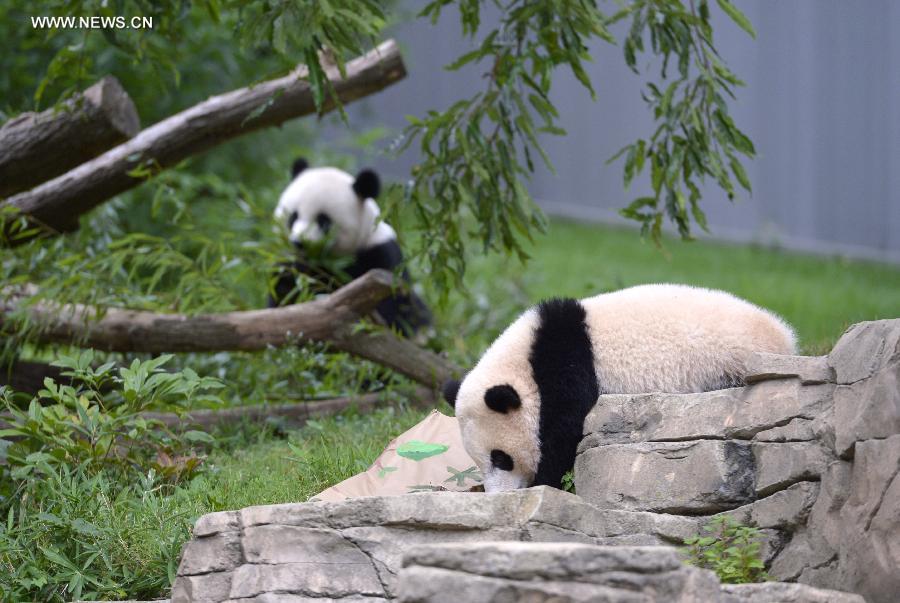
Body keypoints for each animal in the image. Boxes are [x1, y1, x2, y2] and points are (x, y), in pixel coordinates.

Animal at [268, 158, 430, 338]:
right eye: (293, 217)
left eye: (323, 221)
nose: (299, 243)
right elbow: (285, 289)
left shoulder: (379, 254)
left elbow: (387, 300)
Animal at [442, 286, 796, 494]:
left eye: (501, 458)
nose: (499, 495)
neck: (526, 360)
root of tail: (785, 338)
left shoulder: (566, 369)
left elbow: (563, 436)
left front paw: (547, 482)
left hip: (726, 364)